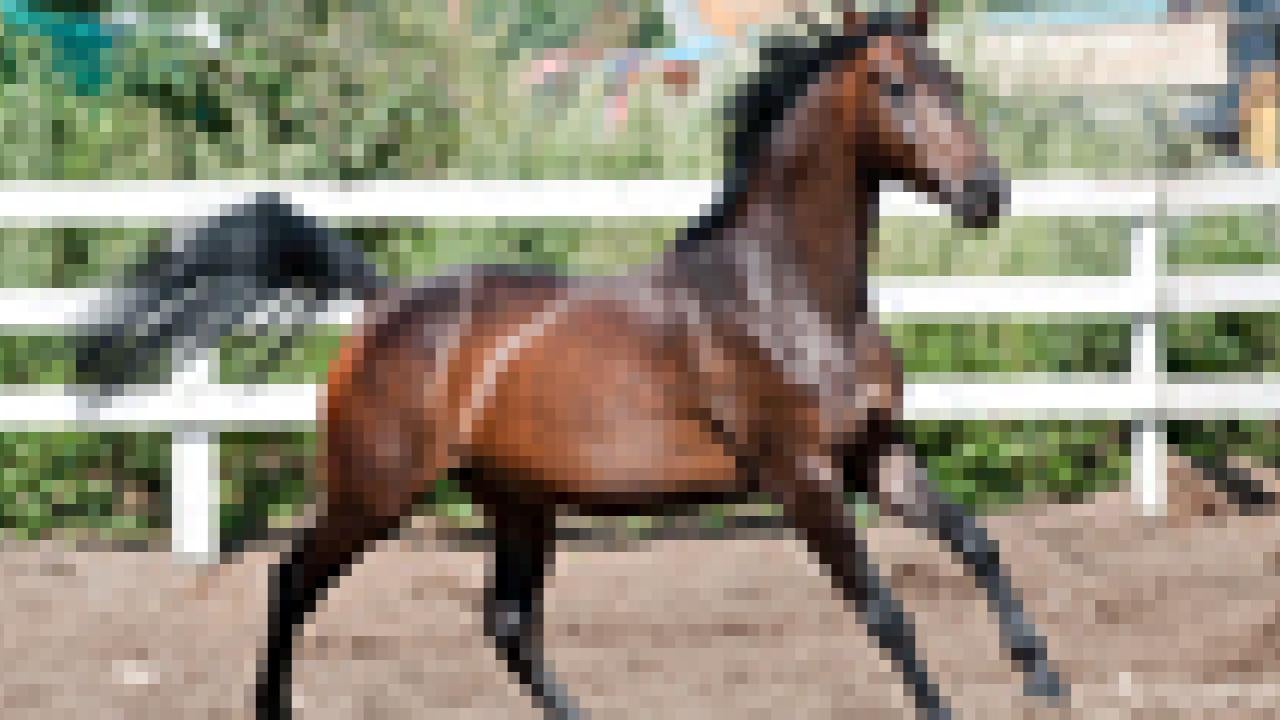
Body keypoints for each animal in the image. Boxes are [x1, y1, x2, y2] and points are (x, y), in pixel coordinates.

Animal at [75, 8, 1070, 719]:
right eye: (895, 86)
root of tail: (383, 305)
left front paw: (1044, 678)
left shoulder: (873, 452)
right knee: (294, 580)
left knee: (510, 626)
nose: (987, 193)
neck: (784, 297)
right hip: (375, 491)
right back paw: (273, 707)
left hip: (519, 501)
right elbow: (883, 608)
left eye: (955, 82)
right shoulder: (802, 474)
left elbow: (977, 541)